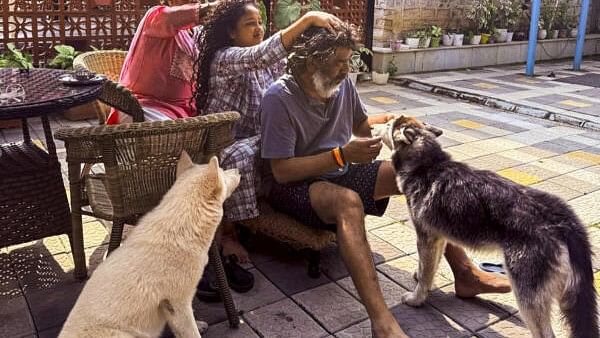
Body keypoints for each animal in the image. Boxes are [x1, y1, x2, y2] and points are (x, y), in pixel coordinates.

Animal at [59, 154, 239, 338]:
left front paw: (199, 324)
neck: (181, 227)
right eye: (223, 171)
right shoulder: (177, 303)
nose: (238, 170)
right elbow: (191, 331)